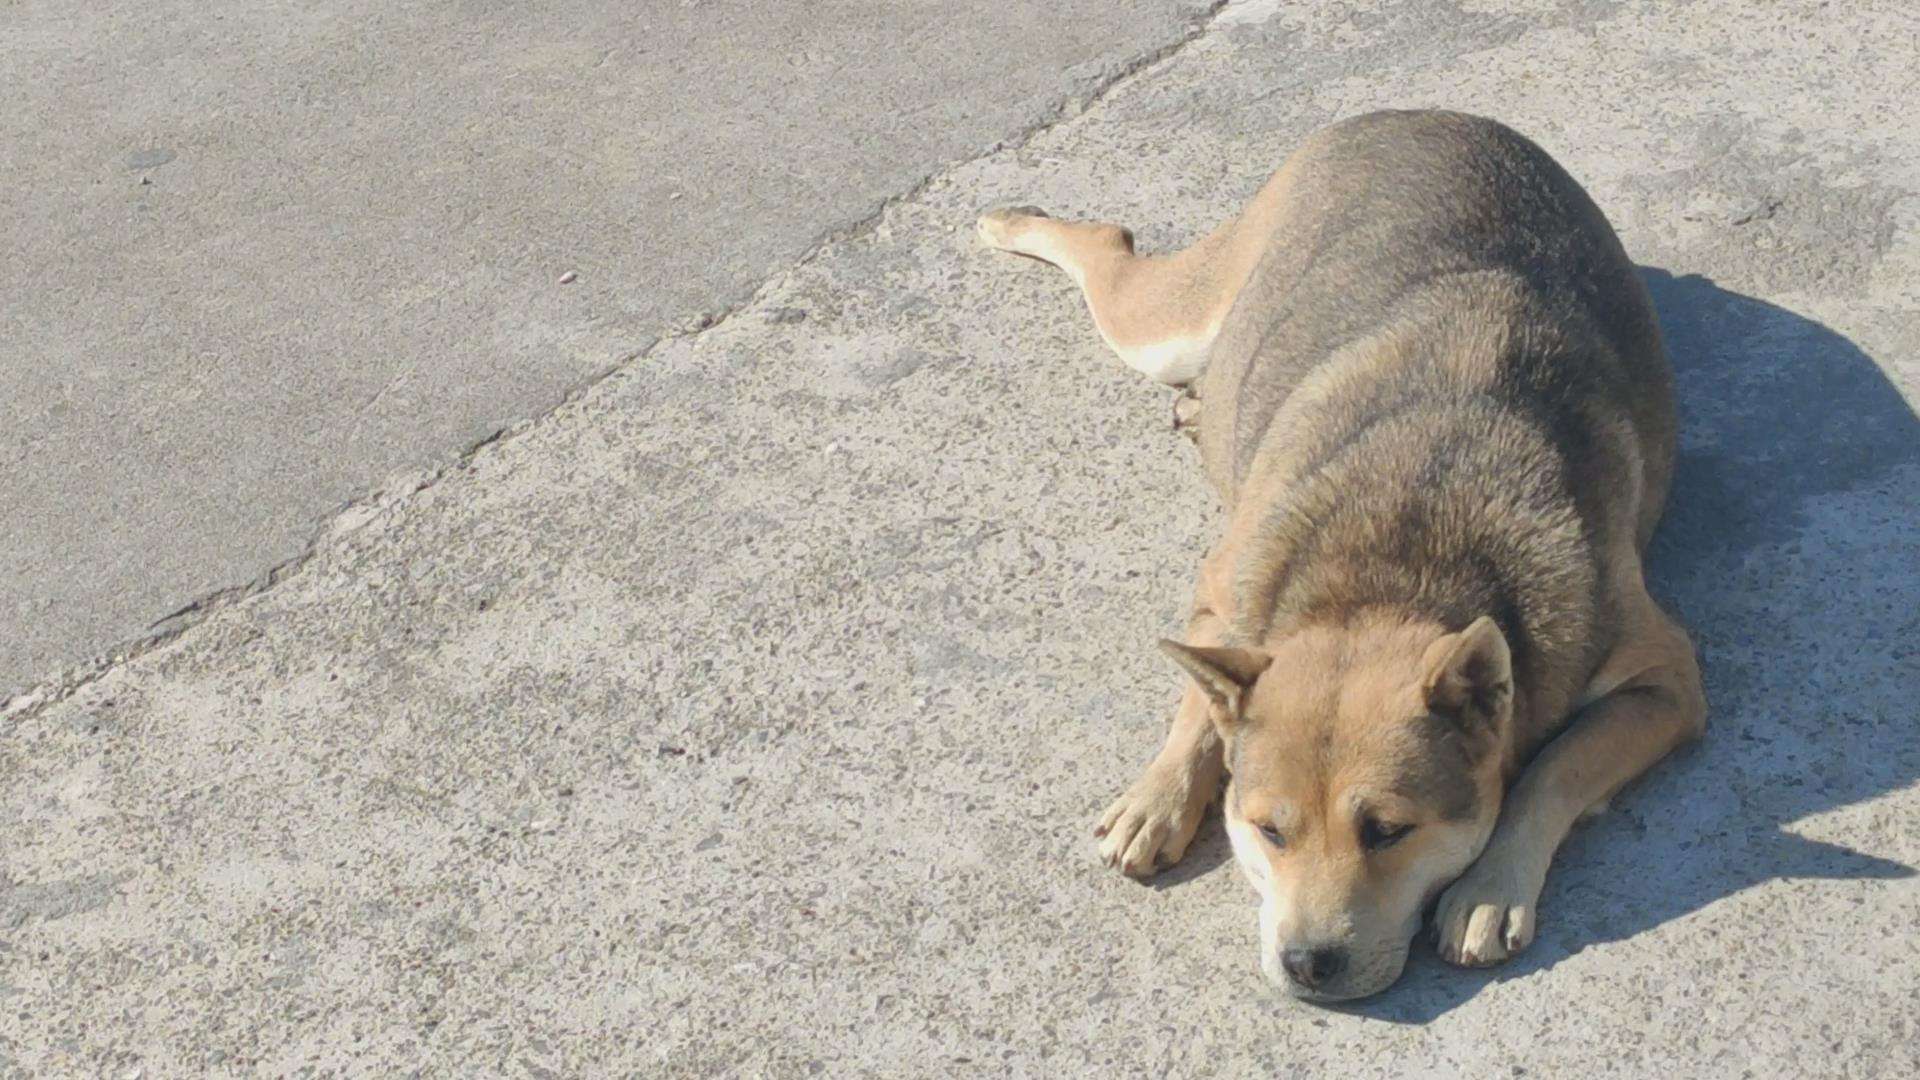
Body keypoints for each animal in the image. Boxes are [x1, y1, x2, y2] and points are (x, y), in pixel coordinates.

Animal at [983, 111, 1704, 999]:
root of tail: (1424, 111)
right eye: (1268, 831)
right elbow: (1201, 695)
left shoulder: (1667, 680)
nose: (1307, 964)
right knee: (1109, 248)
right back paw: (1013, 223)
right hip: (1171, 323)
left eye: (1388, 830)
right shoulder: (1226, 585)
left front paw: (1491, 884)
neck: (1389, 568)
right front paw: (1165, 791)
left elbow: (1552, 767)